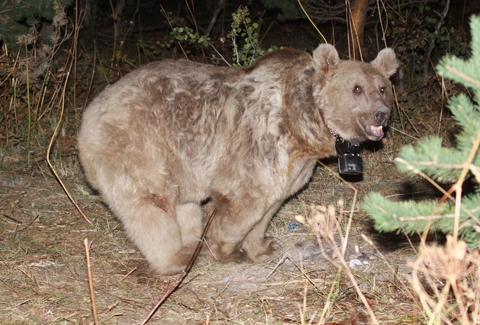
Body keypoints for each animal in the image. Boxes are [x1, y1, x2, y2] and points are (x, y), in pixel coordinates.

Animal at [78, 43, 398, 274]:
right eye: (356, 88)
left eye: (382, 87)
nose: (381, 114)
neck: (303, 125)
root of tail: (89, 115)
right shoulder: (260, 140)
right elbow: (246, 200)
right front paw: (227, 250)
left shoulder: (293, 164)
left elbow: (272, 202)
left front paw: (264, 246)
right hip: (138, 144)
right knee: (150, 204)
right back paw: (177, 259)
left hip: (178, 160)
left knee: (183, 203)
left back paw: (192, 243)